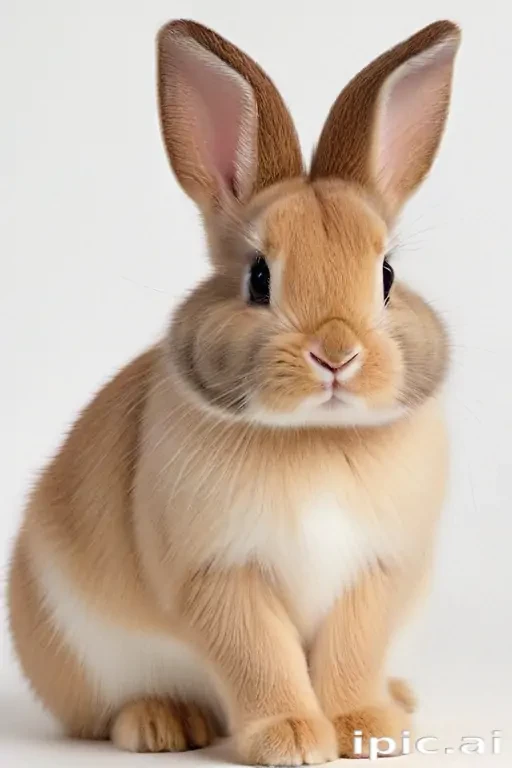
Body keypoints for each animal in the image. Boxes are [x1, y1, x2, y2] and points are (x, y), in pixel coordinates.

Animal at [8, 17, 460, 765]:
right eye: (258, 278)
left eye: (388, 275)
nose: (336, 354)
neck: (313, 440)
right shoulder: (220, 576)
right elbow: (259, 655)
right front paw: (292, 738)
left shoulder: (376, 574)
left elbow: (350, 652)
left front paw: (364, 729)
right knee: (102, 712)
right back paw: (161, 724)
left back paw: (399, 699)